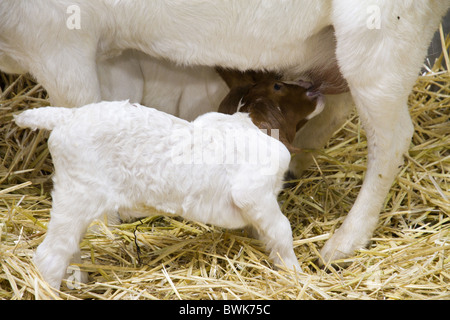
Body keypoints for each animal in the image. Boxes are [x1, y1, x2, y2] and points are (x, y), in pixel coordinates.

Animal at [1, 0, 448, 264]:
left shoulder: (58, 40)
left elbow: (81, 110)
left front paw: (100, 229)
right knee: (340, 108)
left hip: (382, 32)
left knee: (390, 138)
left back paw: (344, 242)